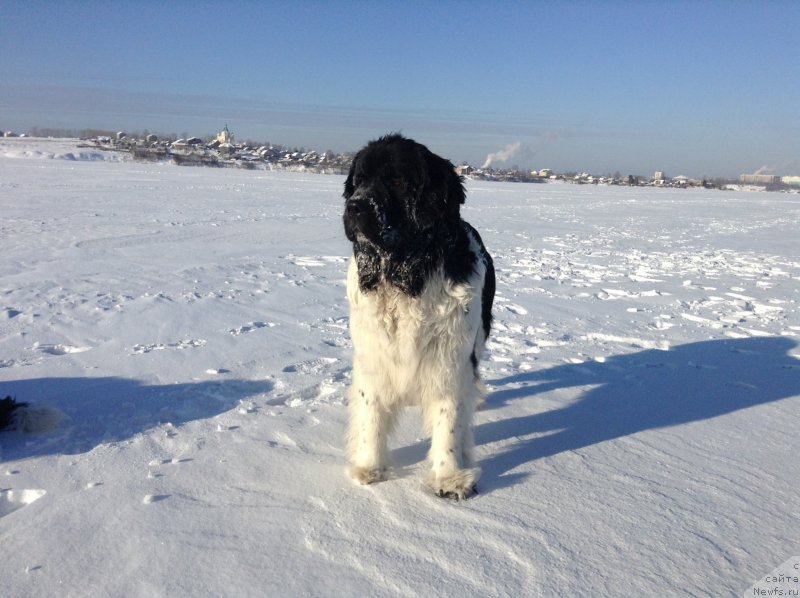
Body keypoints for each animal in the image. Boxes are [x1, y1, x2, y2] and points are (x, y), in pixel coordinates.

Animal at [342, 136, 494, 502]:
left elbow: (449, 420)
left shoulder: (449, 361)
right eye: (359, 180)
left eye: (397, 181)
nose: (354, 206)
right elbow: (370, 414)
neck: (406, 275)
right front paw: (369, 468)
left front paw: (450, 477)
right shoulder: (374, 357)